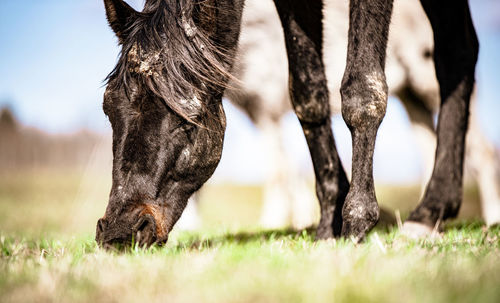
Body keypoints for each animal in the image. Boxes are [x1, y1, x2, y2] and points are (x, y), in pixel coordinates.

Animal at [94, 0, 480, 248]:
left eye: (185, 118)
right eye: (108, 110)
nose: (119, 232)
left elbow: (361, 90)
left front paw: (356, 220)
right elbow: (308, 92)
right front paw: (328, 222)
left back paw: (429, 211)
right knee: (459, 50)